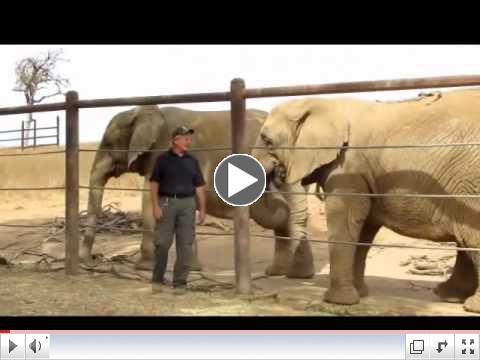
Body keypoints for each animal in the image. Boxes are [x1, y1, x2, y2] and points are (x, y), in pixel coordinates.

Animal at [82, 104, 316, 278]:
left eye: (108, 143)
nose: (91, 262)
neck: (141, 110)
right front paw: (192, 269)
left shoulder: (161, 153)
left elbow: (150, 197)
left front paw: (144, 268)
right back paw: (282, 273)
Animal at [253, 89, 480, 312]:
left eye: (267, 140)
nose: (277, 174)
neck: (324, 103)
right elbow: (363, 229)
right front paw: (360, 294)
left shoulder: (348, 167)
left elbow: (346, 221)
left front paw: (338, 301)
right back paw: (451, 296)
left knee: (471, 238)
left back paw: (468, 305)